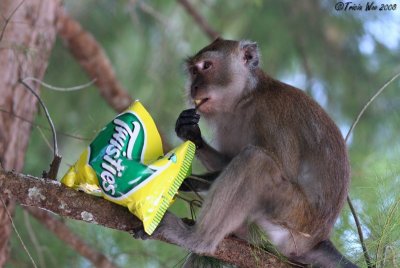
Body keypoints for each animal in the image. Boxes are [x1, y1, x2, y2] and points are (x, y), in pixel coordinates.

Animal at [134, 38, 356, 268]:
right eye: (194, 71)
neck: (246, 99)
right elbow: (225, 161)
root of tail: (316, 240)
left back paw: (196, 238)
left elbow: (281, 166)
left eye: (206, 66)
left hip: (291, 220)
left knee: (256, 160)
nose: (194, 87)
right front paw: (190, 137)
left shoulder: (272, 115)